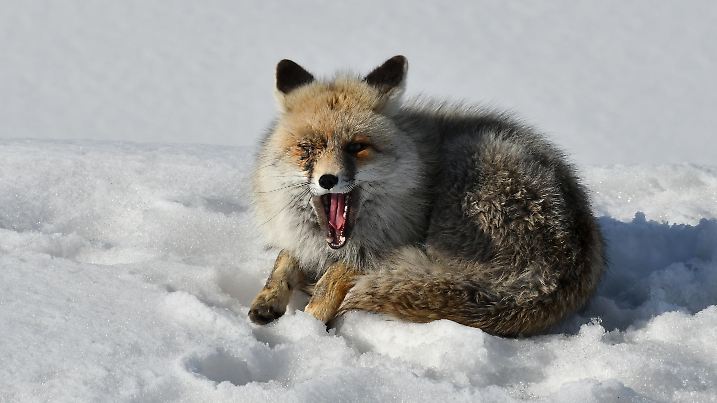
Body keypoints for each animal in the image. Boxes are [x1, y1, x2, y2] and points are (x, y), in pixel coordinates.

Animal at [248, 55, 604, 337]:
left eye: (357, 147)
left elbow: (334, 278)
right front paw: (268, 299)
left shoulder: (388, 243)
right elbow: (283, 260)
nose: (328, 180)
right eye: (307, 149)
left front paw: (309, 323)